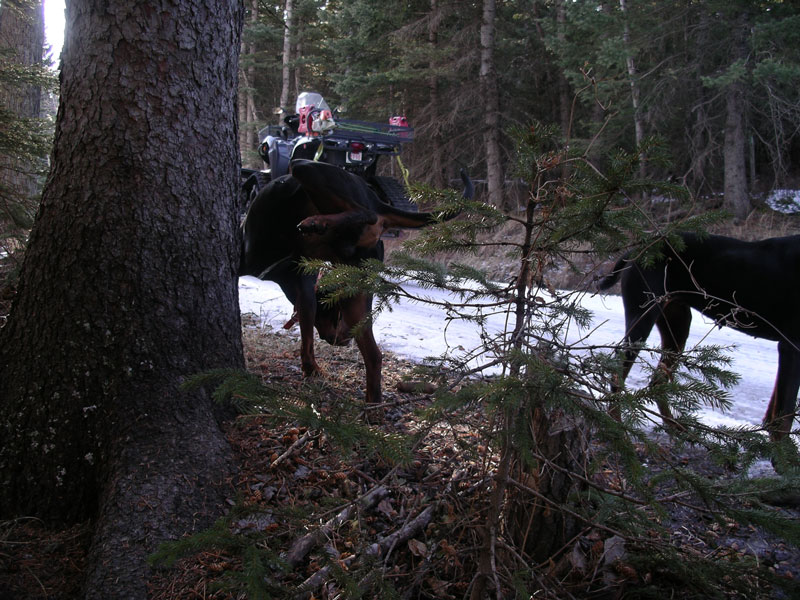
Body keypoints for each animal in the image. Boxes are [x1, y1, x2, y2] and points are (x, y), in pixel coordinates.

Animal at [240, 159, 473, 405]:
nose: (341, 340)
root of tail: (374, 196)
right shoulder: (306, 294)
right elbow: (307, 339)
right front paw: (311, 369)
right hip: (358, 292)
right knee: (374, 355)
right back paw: (373, 405)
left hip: (308, 168)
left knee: (368, 213)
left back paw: (317, 222)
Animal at [597, 232, 800, 440]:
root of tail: (636, 250)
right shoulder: (791, 346)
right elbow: (784, 419)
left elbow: (775, 416)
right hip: (643, 316)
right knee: (617, 375)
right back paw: (618, 430)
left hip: (677, 324)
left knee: (657, 381)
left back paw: (676, 427)